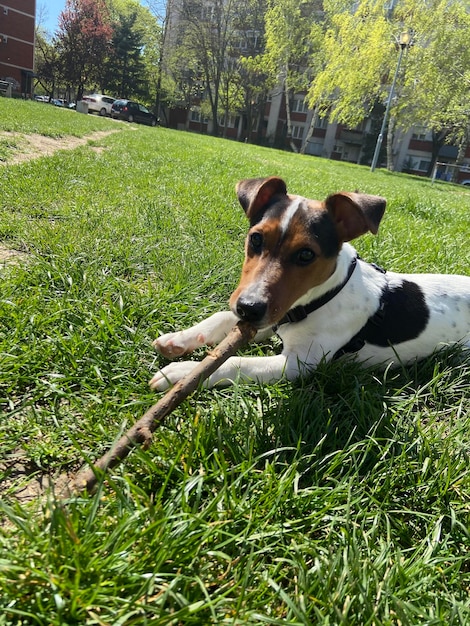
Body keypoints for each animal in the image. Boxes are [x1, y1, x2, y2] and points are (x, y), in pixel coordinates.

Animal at [150, 177, 470, 390]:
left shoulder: (297, 363)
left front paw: (183, 373)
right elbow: (219, 317)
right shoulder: (272, 318)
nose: (249, 308)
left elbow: (235, 362)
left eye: (306, 255)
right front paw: (178, 339)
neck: (323, 298)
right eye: (256, 238)